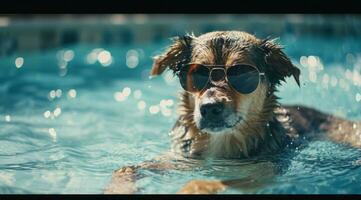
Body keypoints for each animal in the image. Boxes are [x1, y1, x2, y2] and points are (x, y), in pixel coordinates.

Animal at [104, 30, 360, 194]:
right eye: (197, 74)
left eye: (242, 74)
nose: (209, 108)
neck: (219, 143)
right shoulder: (178, 158)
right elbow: (124, 169)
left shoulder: (262, 173)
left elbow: (210, 182)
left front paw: (191, 188)